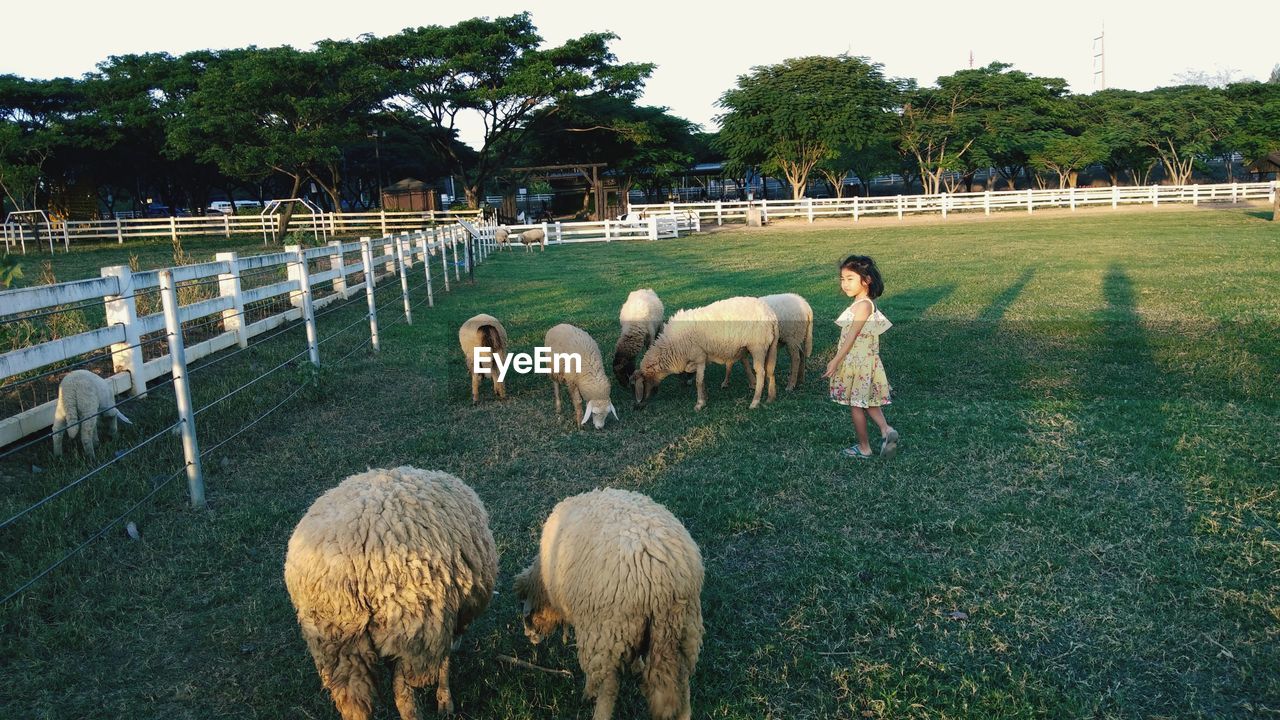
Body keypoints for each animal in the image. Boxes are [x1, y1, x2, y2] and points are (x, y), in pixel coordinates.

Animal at [282, 466, 496, 717]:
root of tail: (347, 566)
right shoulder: (437, 625)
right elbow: (443, 663)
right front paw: (445, 702)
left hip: (336, 642)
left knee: (354, 702)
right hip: (406, 631)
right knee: (403, 693)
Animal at [514, 481, 706, 717]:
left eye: (527, 610)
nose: (529, 636)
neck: (544, 579)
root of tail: (663, 584)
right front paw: (636, 666)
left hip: (606, 633)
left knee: (608, 687)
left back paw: (593, 703)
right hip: (686, 630)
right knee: (684, 685)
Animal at [632, 294, 778, 409]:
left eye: (640, 385)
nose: (637, 406)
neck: (671, 346)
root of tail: (771, 315)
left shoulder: (699, 357)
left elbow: (699, 381)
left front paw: (700, 403)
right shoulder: (698, 359)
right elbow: (701, 379)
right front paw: (705, 397)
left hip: (757, 346)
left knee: (761, 372)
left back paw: (755, 402)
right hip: (770, 346)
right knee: (770, 370)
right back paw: (770, 397)